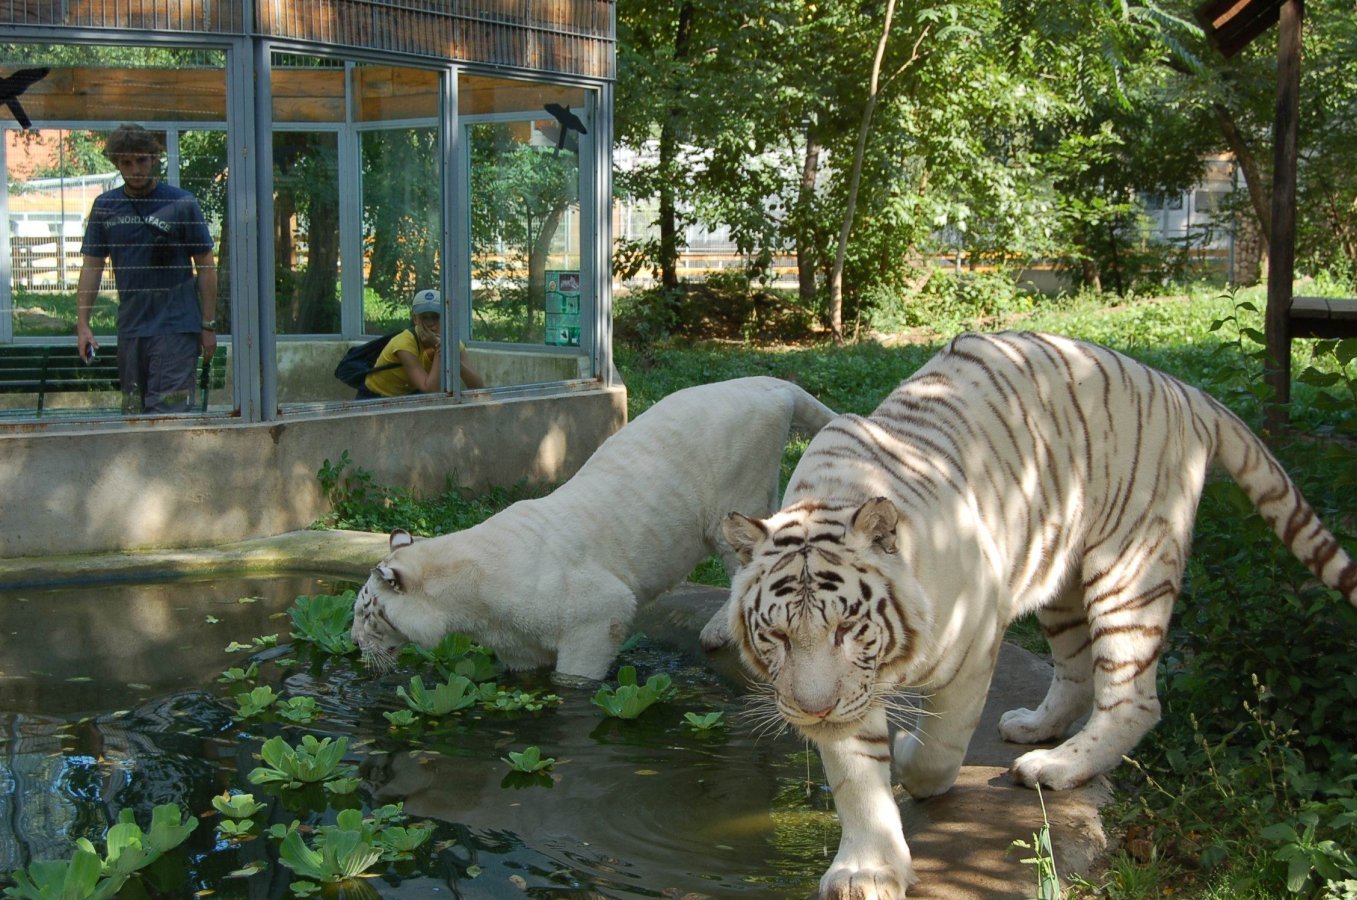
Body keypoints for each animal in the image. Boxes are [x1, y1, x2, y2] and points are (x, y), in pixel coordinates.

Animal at [347, 377, 835, 678]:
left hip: (731, 509)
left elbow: (577, 678)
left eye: (367, 612)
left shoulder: (600, 617)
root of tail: (767, 383)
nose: (352, 643)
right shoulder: (519, 650)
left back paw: (717, 633)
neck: (467, 607)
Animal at [721, 332, 1357, 900]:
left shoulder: (972, 644)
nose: (813, 710)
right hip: (1060, 574)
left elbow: (938, 750)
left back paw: (1055, 767)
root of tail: (1178, 385)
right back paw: (1035, 727)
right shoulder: (850, 695)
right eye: (777, 635)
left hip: (1129, 567)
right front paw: (868, 871)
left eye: (847, 628)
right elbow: (857, 779)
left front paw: (908, 761)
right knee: (1076, 671)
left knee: (1134, 697)